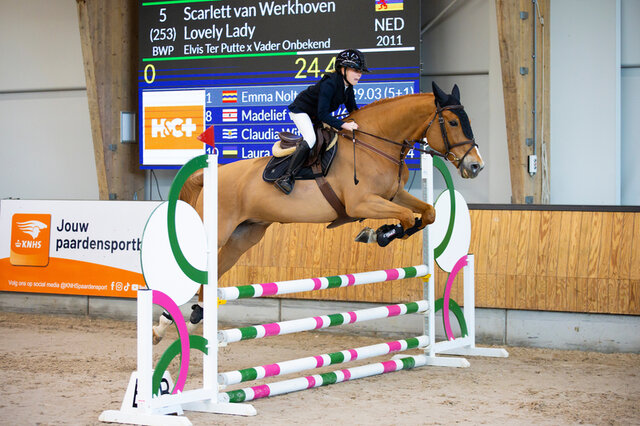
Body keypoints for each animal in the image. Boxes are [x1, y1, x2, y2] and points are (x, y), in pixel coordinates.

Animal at [152, 82, 484, 343]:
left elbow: (428, 213)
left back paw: (191, 317)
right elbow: (404, 218)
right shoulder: (361, 203)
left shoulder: (393, 195)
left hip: (244, 235)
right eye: (452, 123)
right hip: (218, 230)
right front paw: (378, 234)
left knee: (215, 270)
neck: (374, 144)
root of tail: (212, 174)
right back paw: (164, 323)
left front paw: (378, 233)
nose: (475, 166)